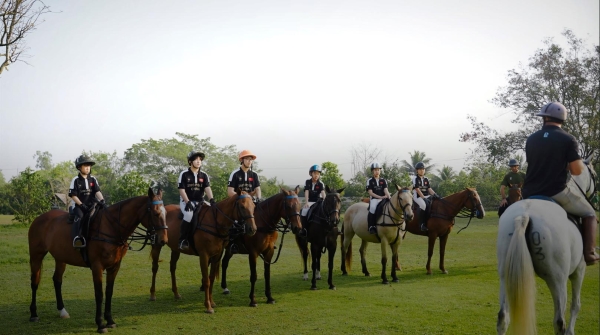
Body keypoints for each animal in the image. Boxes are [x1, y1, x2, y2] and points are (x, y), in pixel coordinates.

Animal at [28, 189, 169, 334]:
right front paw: (100, 324)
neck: (111, 228)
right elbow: (99, 294)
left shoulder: (114, 267)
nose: (163, 240)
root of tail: (39, 218)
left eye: (166, 213)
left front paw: (110, 321)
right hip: (36, 255)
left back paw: (62, 311)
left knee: (57, 280)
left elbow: (109, 292)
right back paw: (33, 314)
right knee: (34, 282)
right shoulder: (97, 267)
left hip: (60, 258)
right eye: (156, 213)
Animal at [496, 161, 596, 334]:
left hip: (505, 274)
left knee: (503, 317)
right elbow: (576, 305)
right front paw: (571, 331)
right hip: (558, 279)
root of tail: (524, 215)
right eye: (595, 175)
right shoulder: (579, 270)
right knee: (559, 321)